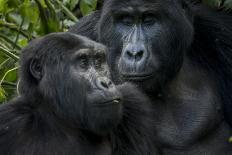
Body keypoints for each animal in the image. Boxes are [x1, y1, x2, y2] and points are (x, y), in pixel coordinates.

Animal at [0, 32, 156, 154]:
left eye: (98, 62)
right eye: (83, 63)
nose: (106, 83)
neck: (59, 119)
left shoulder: (133, 102)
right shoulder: (9, 120)